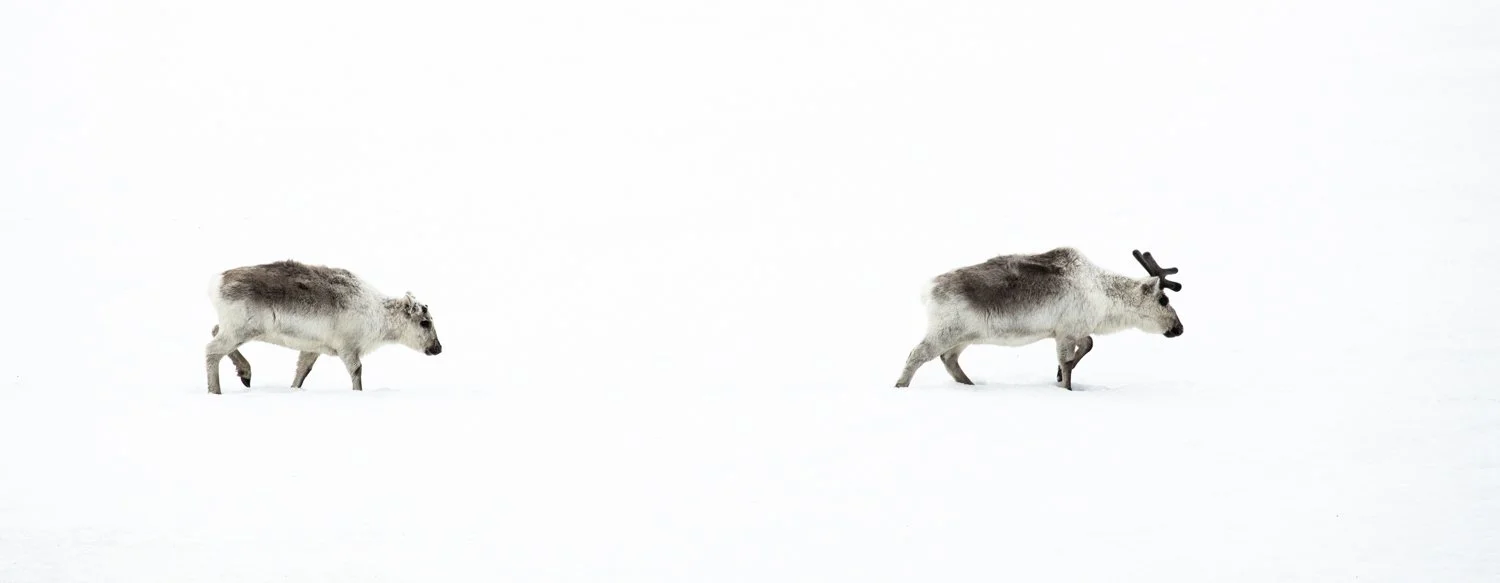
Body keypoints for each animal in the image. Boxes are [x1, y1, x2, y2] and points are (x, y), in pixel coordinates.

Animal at [204, 260, 443, 394]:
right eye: (425, 322)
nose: (438, 348)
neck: (378, 315)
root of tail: (216, 282)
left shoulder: (312, 348)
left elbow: (302, 371)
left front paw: (293, 390)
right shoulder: (348, 347)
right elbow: (357, 371)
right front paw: (358, 394)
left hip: (234, 329)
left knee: (214, 330)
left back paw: (245, 373)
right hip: (240, 330)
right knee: (211, 350)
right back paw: (216, 391)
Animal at [894, 247, 1183, 390]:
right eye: (1163, 300)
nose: (1179, 328)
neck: (1104, 298)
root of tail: (927, 290)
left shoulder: (1070, 331)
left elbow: (1088, 344)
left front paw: (1058, 374)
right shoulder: (1066, 332)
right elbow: (1069, 362)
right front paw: (1064, 384)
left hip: (964, 336)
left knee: (948, 359)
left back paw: (970, 385)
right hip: (946, 330)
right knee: (917, 354)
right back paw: (900, 386)